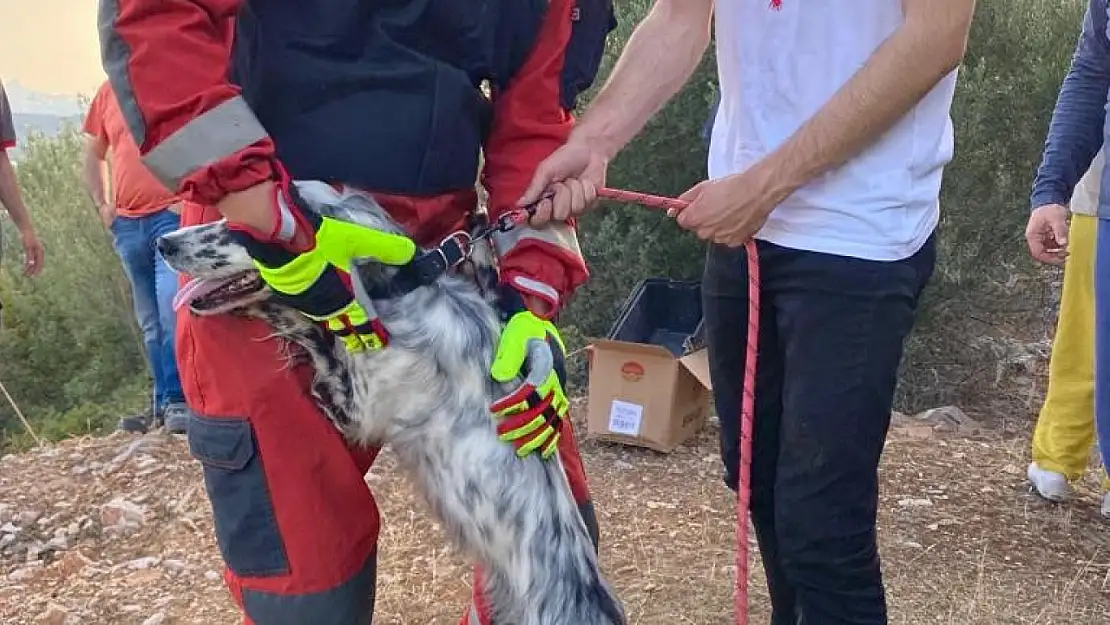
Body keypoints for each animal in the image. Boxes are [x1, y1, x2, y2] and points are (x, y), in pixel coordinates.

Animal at [157, 180, 630, 625]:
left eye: (237, 230)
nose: (164, 243)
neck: (402, 290)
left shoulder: (355, 405)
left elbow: (311, 331)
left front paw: (291, 306)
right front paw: (480, 237)